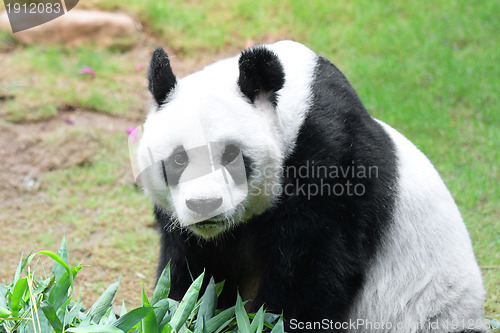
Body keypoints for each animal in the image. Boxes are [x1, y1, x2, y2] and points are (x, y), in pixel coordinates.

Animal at [135, 40, 486, 330]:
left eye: (231, 156)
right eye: (178, 160)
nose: (204, 204)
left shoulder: (333, 162)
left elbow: (312, 272)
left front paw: (262, 321)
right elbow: (190, 274)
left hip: (435, 309)